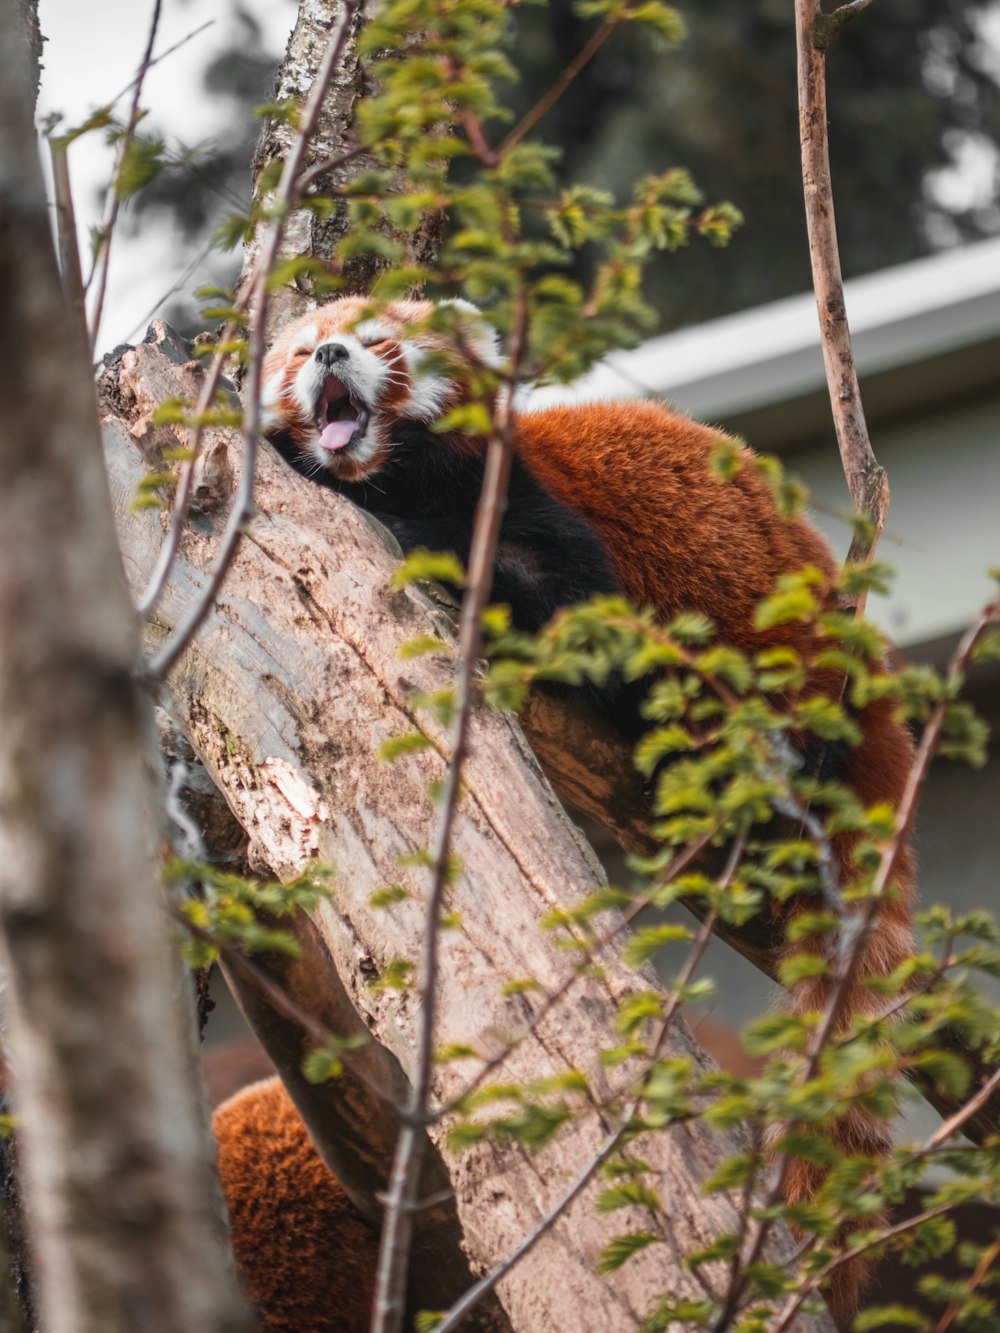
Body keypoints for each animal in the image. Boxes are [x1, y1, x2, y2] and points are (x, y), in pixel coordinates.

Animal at [216, 297, 922, 1327]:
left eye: (381, 335)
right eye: (304, 349)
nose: (334, 353)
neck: (391, 477)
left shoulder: (528, 502)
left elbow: (573, 605)